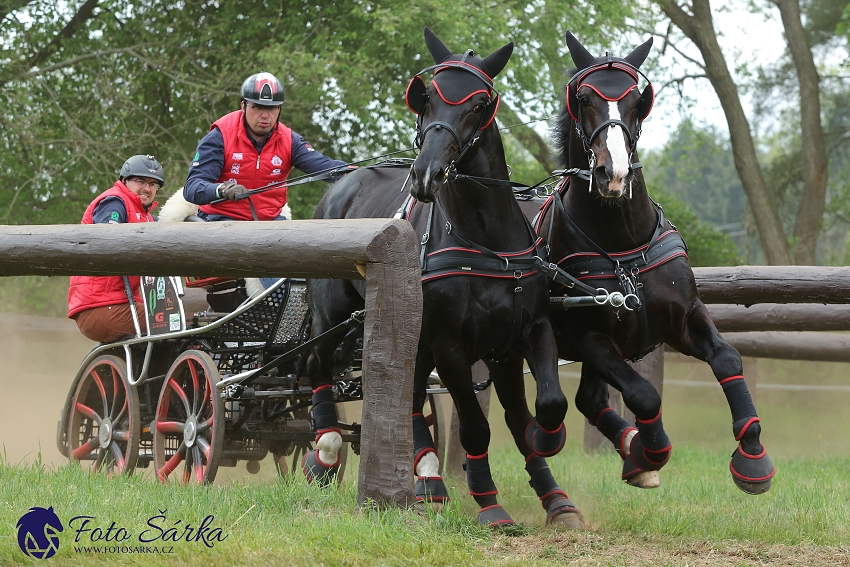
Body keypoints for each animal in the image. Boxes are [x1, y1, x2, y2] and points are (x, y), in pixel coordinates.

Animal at [304, 28, 584, 528]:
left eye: (479, 103)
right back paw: (329, 449)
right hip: (333, 314)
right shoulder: (450, 345)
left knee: (412, 395)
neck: (486, 242)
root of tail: (342, 184)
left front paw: (554, 490)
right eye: (428, 97)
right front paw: (489, 502)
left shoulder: (522, 335)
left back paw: (428, 478)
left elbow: (538, 409)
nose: (426, 173)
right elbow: (475, 427)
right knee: (319, 365)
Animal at [532, 33, 772, 496]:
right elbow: (644, 394)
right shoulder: (589, 336)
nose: (613, 173)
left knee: (588, 398)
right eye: (583, 98)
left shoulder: (681, 319)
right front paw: (651, 451)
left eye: (636, 100)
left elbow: (728, 359)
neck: (624, 244)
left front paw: (752, 454)